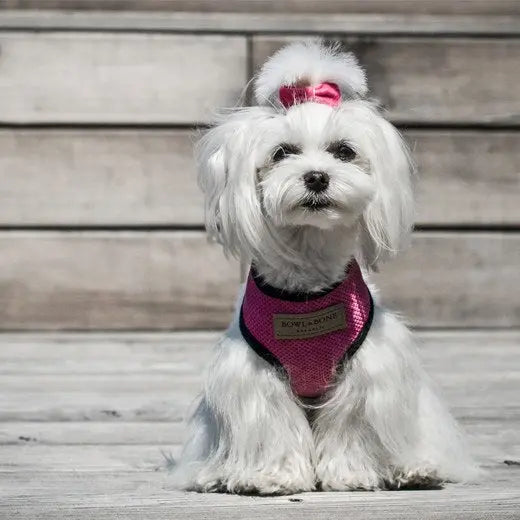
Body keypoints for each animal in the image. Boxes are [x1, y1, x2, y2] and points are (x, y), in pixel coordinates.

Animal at [172, 39, 480, 492]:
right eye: (282, 152)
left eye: (344, 151)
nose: (316, 177)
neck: (307, 283)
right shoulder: (256, 377)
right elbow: (274, 426)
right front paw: (274, 476)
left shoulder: (366, 371)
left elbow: (351, 422)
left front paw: (350, 474)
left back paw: (414, 470)